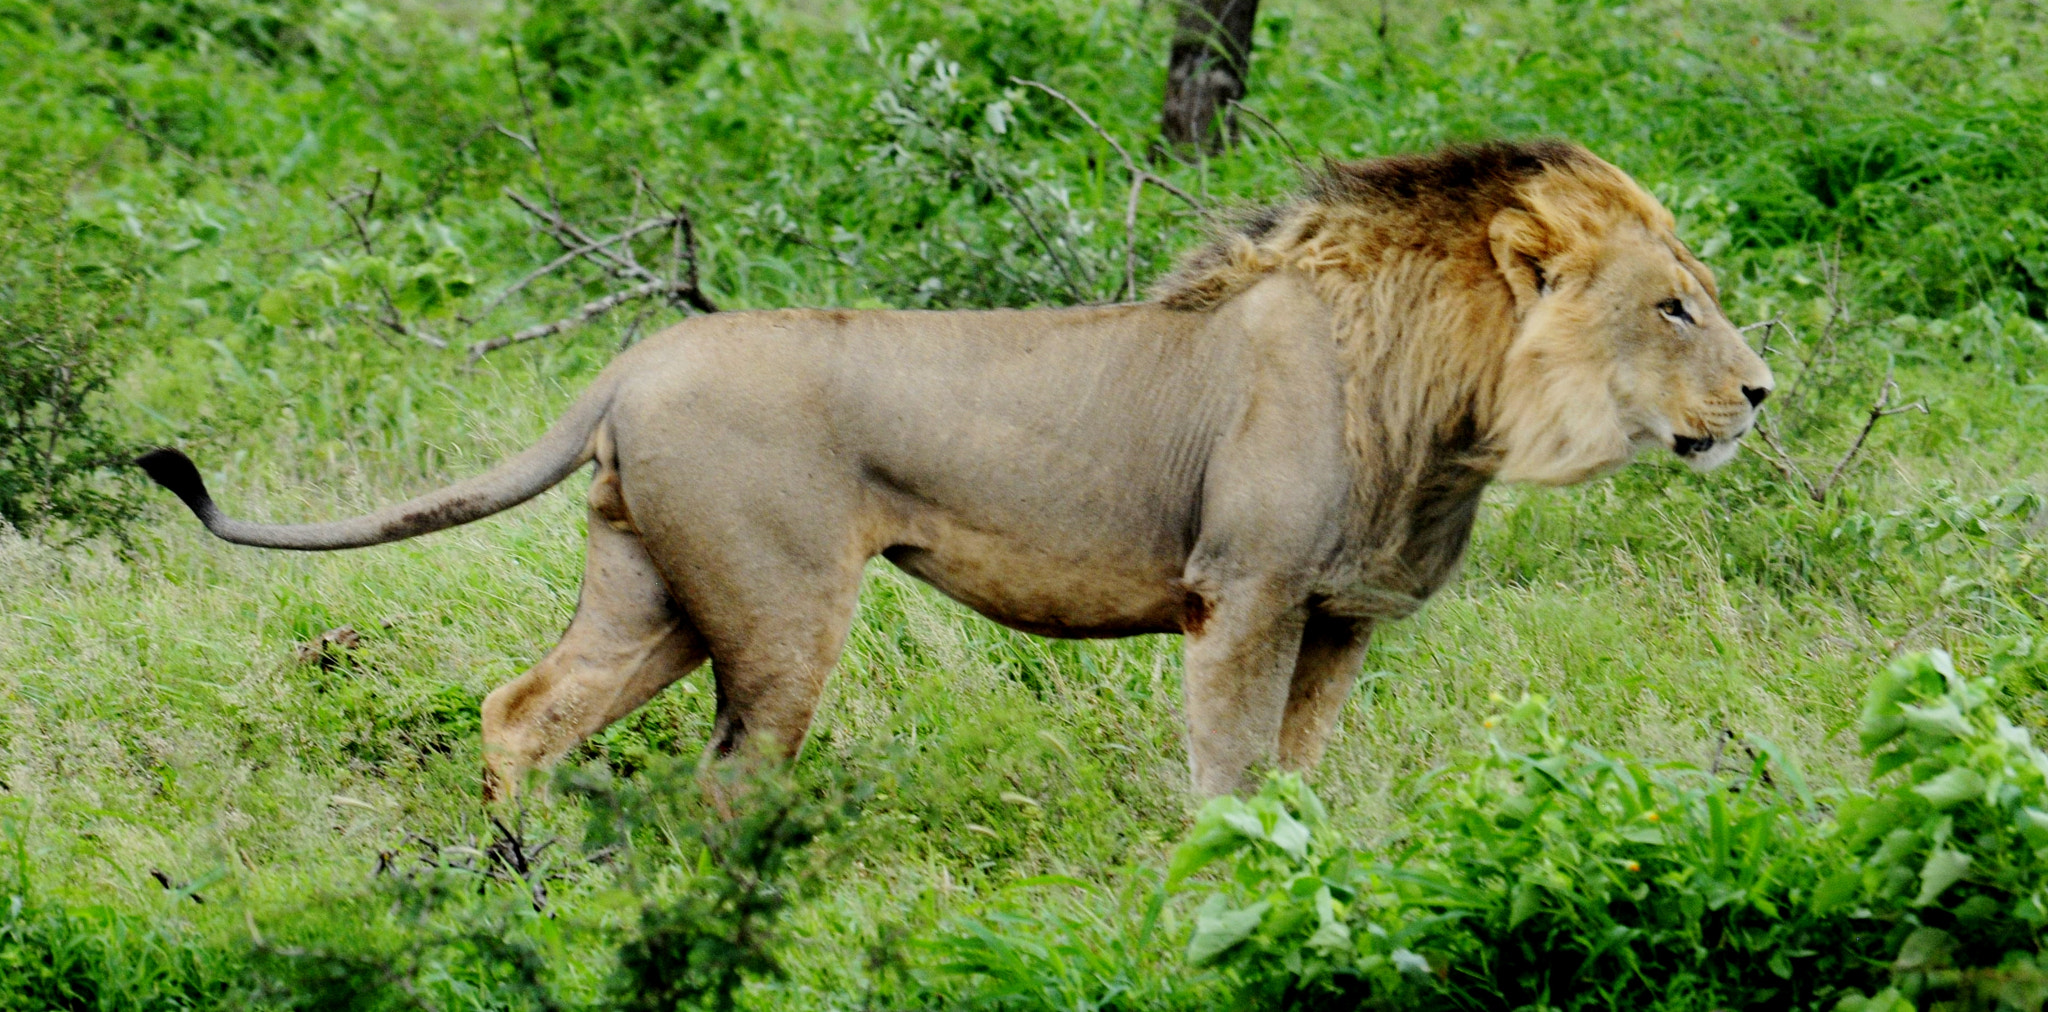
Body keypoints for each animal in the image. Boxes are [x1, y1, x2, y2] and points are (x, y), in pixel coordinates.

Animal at [138, 140, 1772, 800]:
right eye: (1673, 304)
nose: (1763, 394)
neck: (1447, 419)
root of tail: (636, 355)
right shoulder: (1241, 596)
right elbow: (1227, 775)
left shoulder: (1340, 620)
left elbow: (1302, 779)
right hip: (778, 606)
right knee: (730, 779)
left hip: (650, 589)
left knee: (524, 710)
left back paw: (516, 895)